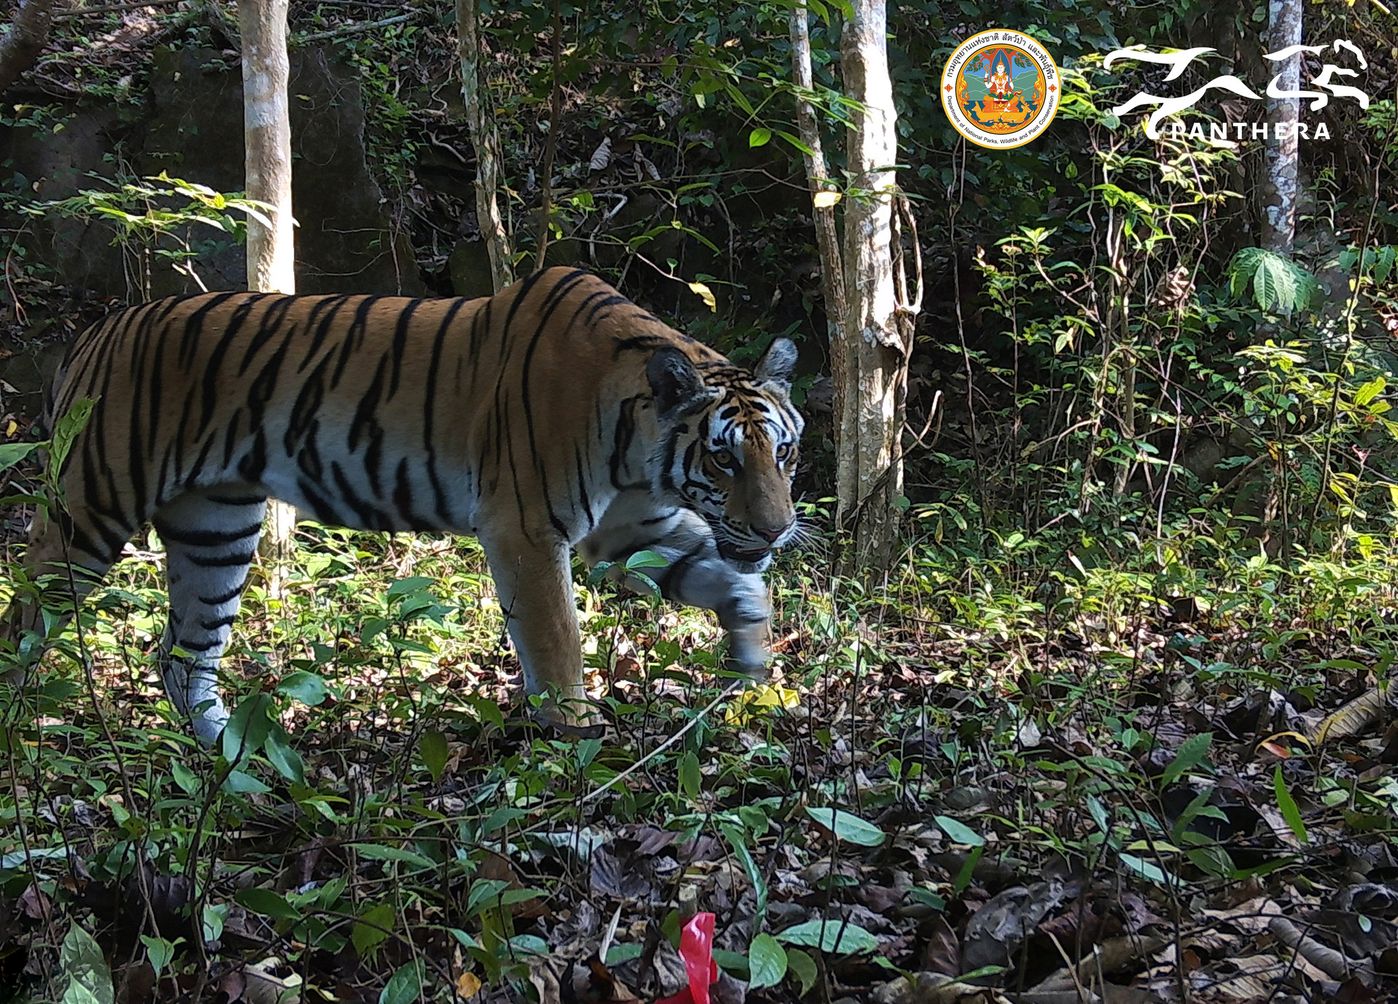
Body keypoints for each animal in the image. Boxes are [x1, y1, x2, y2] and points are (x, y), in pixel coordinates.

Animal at [1, 267, 804, 744]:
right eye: (724, 457)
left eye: (785, 453)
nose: (775, 530)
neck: (637, 441)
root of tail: (96, 332)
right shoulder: (524, 527)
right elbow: (557, 640)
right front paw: (572, 739)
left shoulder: (632, 524)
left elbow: (724, 580)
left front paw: (752, 664)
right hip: (88, 507)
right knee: (27, 617)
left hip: (215, 528)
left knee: (181, 654)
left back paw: (238, 760)